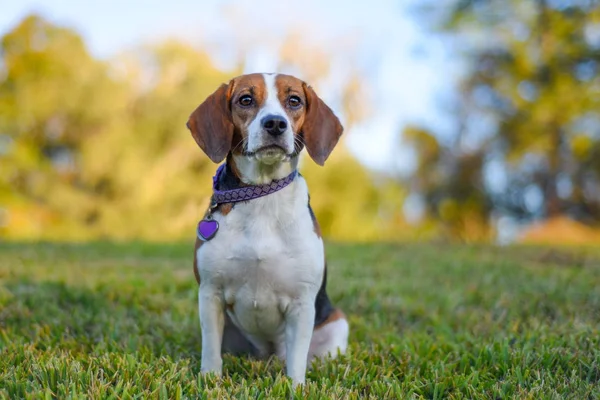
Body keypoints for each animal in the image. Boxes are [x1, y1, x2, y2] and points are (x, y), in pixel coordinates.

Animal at [186, 73, 346, 386]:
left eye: (294, 100)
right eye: (246, 99)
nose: (275, 123)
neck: (262, 194)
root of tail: (269, 357)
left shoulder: (302, 304)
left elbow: (297, 361)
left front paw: (296, 388)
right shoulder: (210, 294)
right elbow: (210, 350)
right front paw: (210, 381)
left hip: (337, 323)